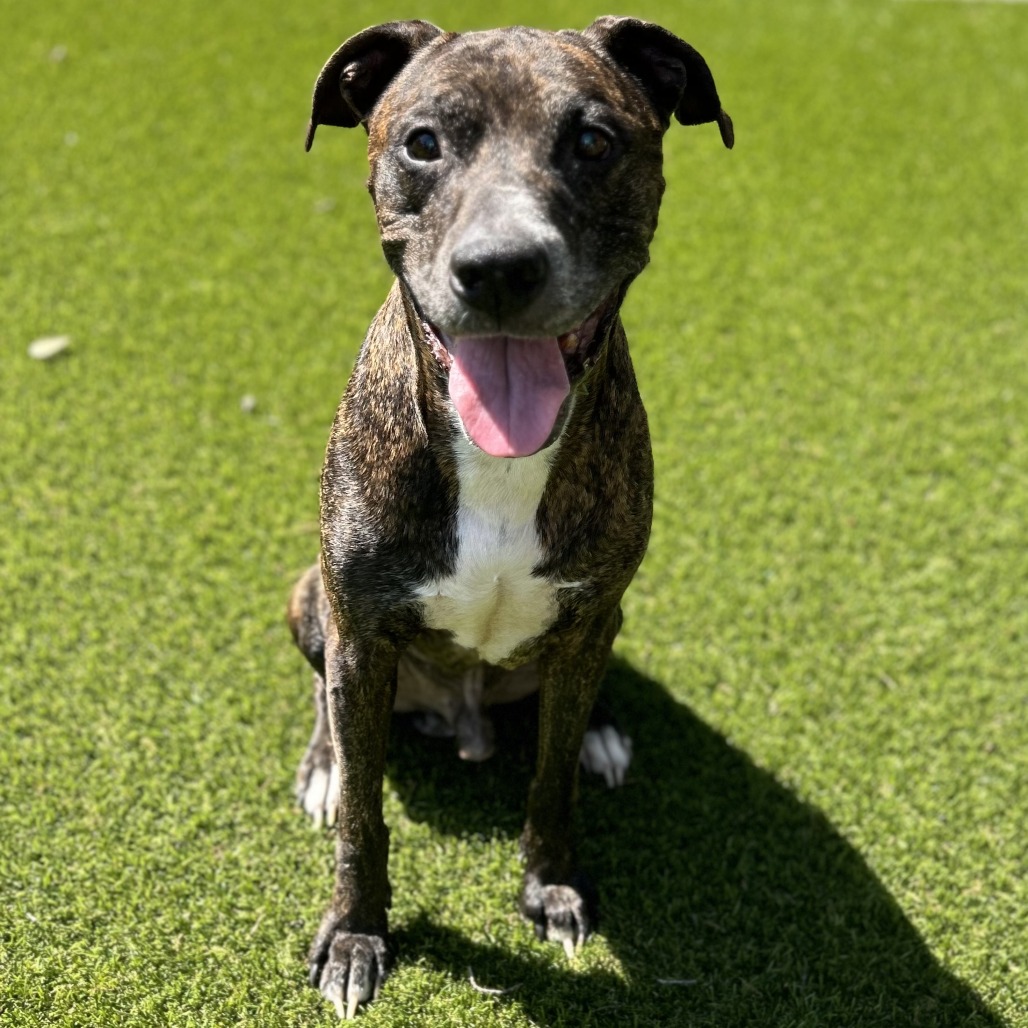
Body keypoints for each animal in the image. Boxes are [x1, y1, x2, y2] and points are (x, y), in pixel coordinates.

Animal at [288, 17, 732, 1018]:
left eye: (594, 142)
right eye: (422, 143)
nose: (498, 268)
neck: (496, 462)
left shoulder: (586, 617)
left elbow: (551, 782)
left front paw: (552, 887)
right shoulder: (360, 628)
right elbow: (367, 814)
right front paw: (356, 934)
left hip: (606, 623)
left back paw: (604, 731)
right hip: (308, 601)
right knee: (330, 698)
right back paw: (326, 762)